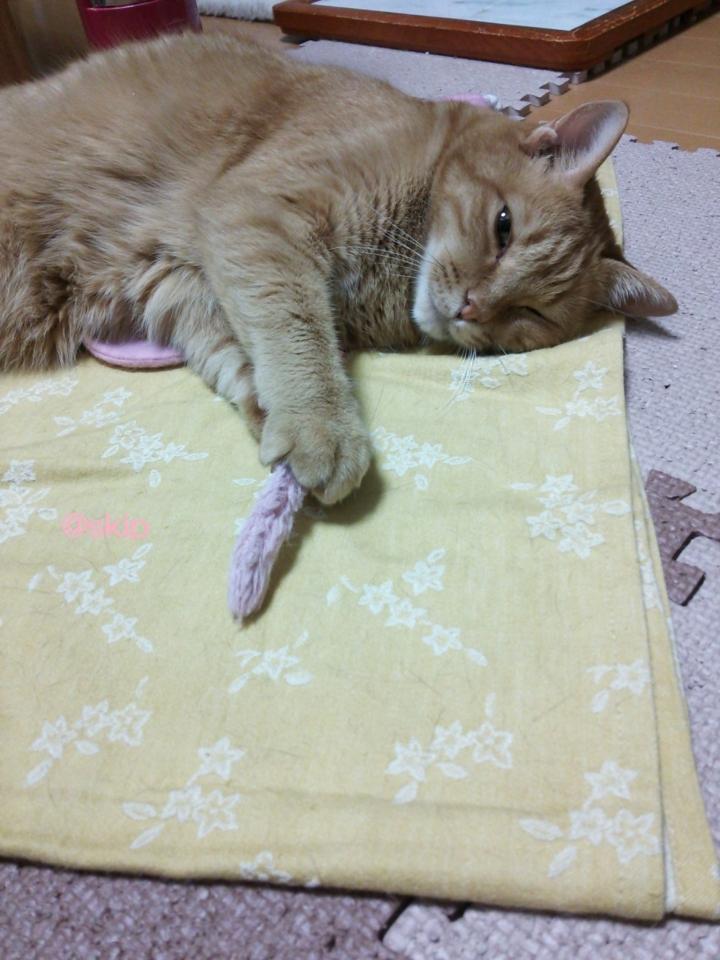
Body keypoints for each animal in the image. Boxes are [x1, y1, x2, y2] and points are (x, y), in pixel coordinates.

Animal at [0, 32, 676, 504]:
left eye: (530, 313)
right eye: (503, 227)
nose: (471, 308)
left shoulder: (181, 279)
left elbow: (238, 347)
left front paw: (272, 412)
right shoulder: (258, 215)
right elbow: (297, 331)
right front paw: (320, 426)